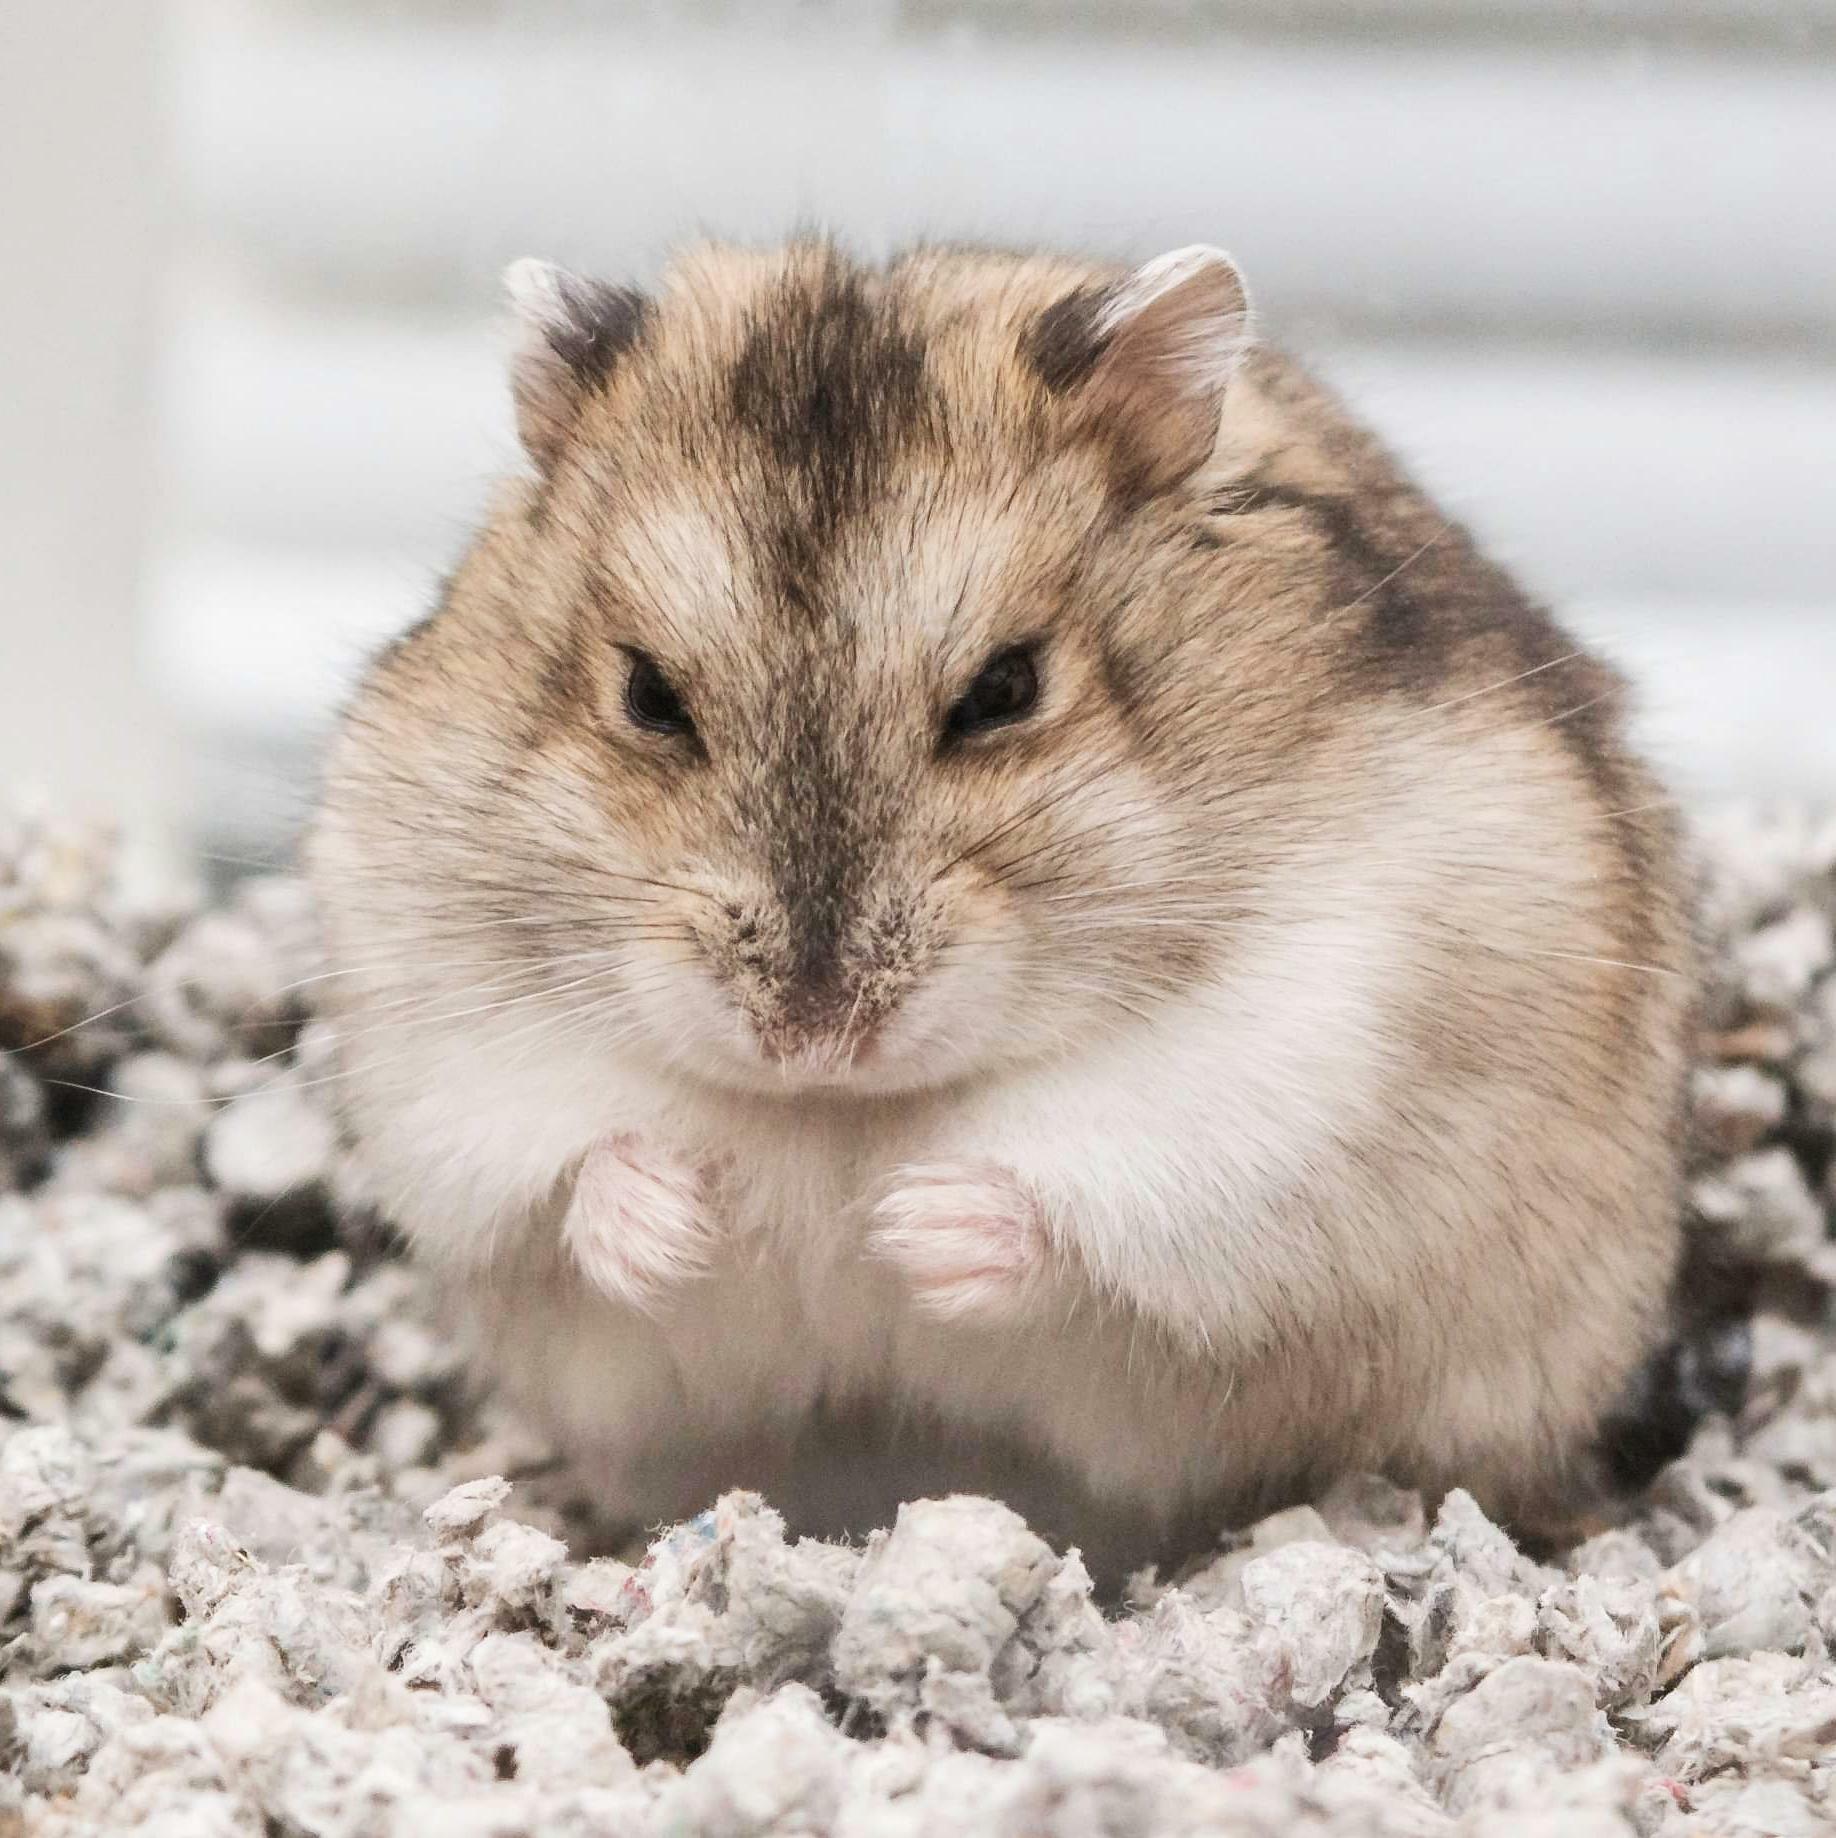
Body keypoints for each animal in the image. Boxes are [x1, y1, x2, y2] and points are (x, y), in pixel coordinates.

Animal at [309, 238, 1691, 1572]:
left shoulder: (1314, 1048)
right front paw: (695, 1213)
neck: (845, 1114)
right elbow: (564, 1171)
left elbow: (1089, 1193)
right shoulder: (446, 1043)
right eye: (648, 693)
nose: (812, 1040)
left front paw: (900, 1220)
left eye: (1006, 688)